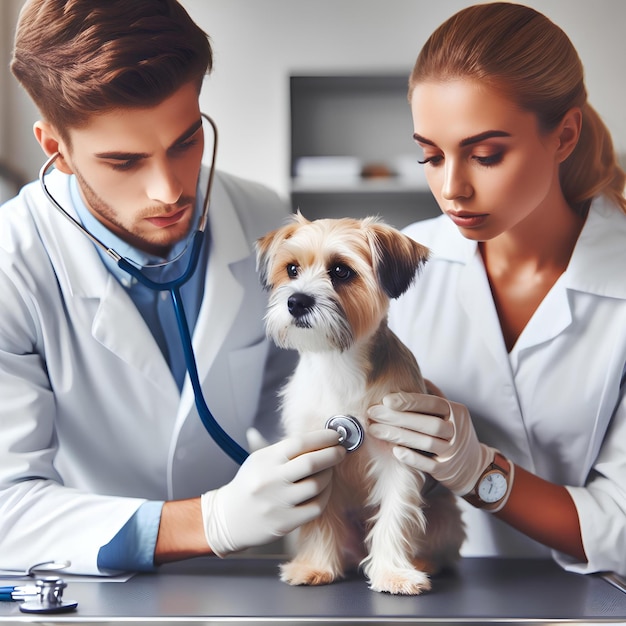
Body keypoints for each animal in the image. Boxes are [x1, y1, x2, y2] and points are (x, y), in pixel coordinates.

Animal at [254, 212, 464, 592]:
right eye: (291, 269)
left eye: (341, 271)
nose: (297, 301)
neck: (339, 364)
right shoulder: (314, 457)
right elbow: (319, 518)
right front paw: (315, 566)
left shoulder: (397, 459)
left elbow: (395, 514)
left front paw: (393, 573)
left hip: (445, 515)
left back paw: (422, 562)